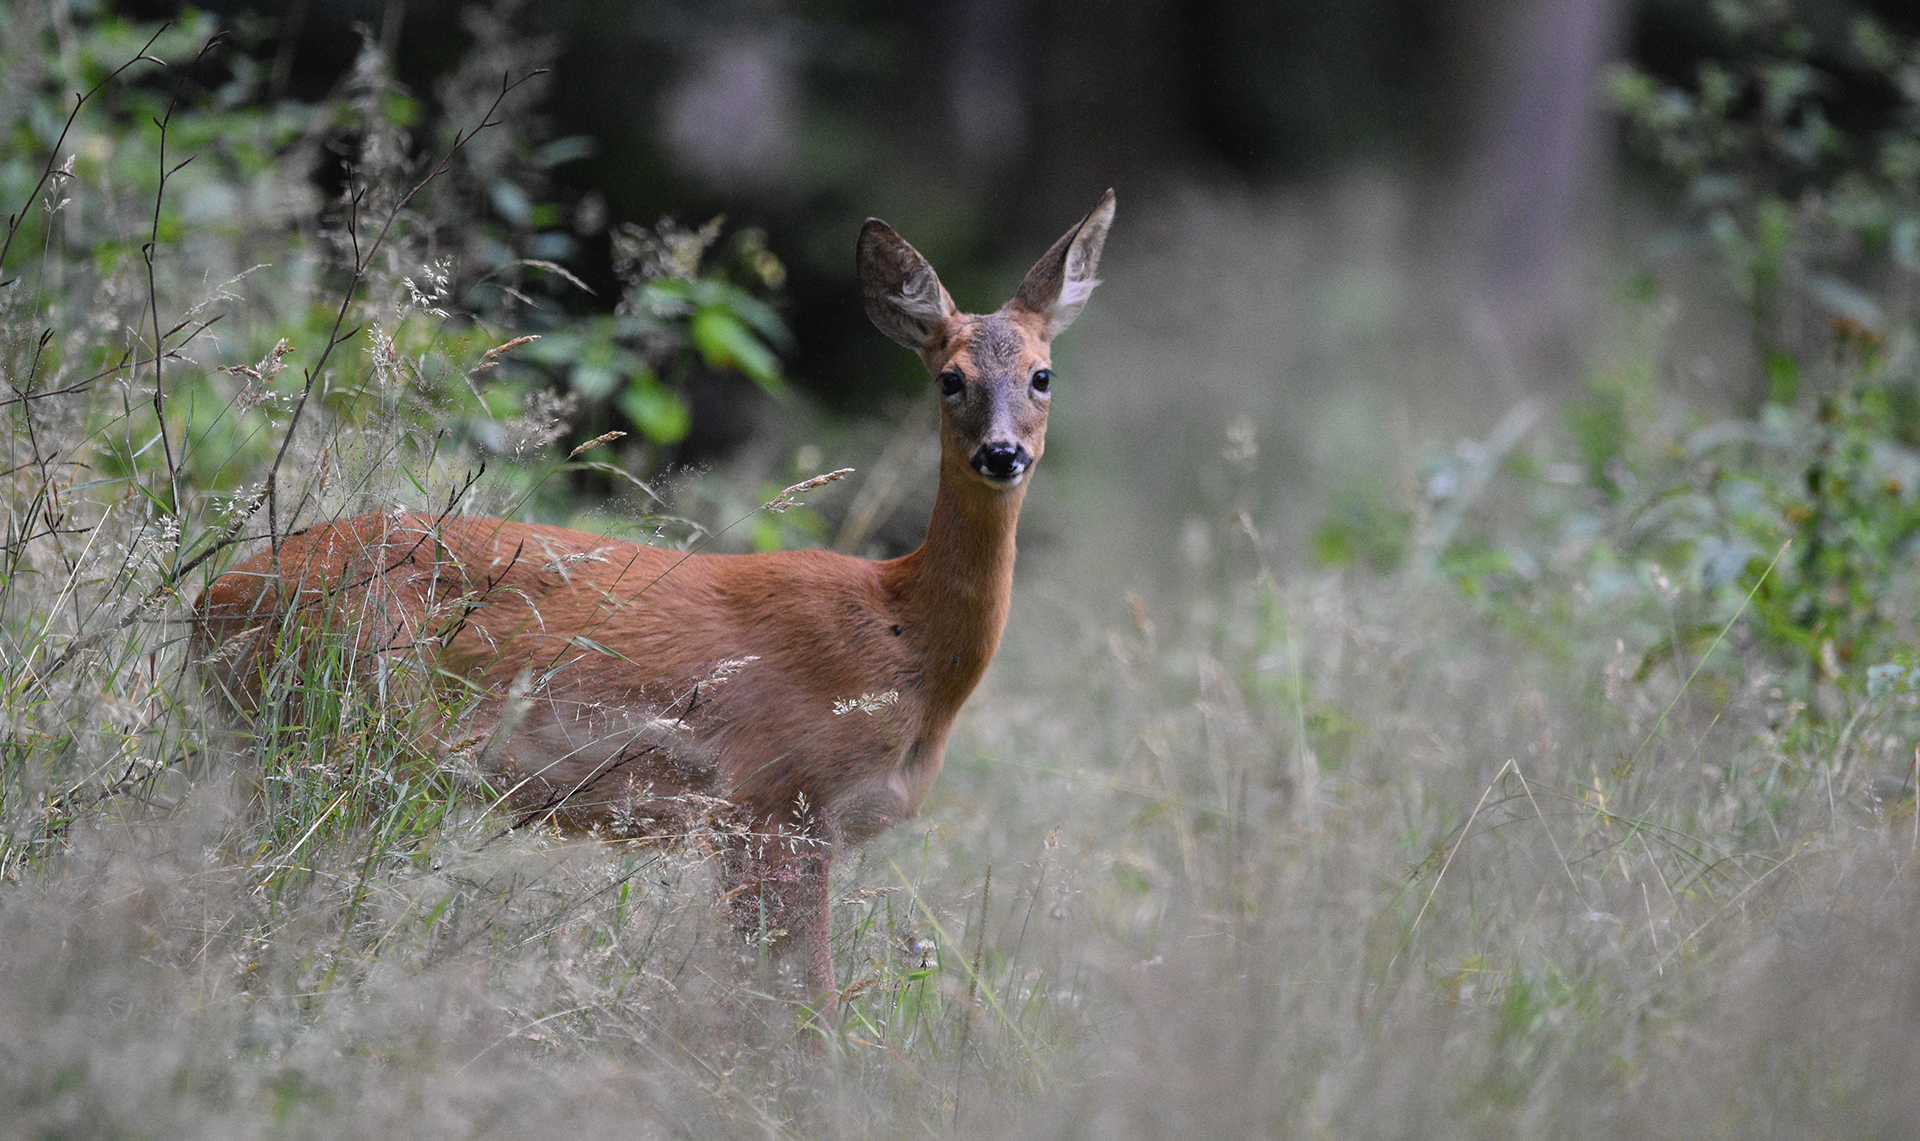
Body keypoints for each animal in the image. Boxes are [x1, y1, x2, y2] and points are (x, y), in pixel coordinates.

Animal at [189, 191, 1121, 998]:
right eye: (948, 378)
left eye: (1043, 375)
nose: (1001, 454)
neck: (902, 634)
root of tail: (208, 605)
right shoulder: (775, 797)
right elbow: (800, 1010)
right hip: (349, 732)